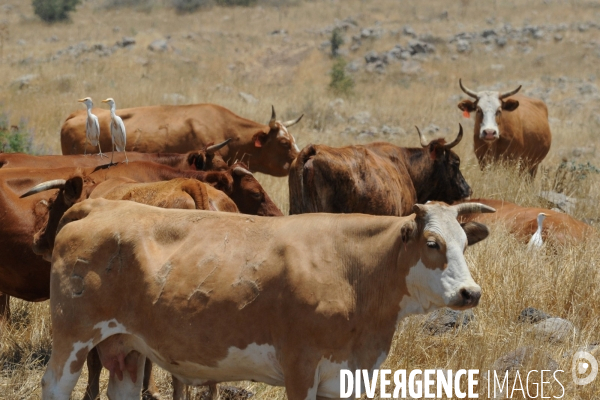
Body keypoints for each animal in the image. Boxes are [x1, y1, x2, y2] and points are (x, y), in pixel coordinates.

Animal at [39, 200, 494, 400]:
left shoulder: (344, 377)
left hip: (127, 348)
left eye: (465, 242)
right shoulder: (300, 367)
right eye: (433, 244)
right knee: (56, 384)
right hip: (73, 337)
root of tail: (100, 204)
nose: (470, 293)